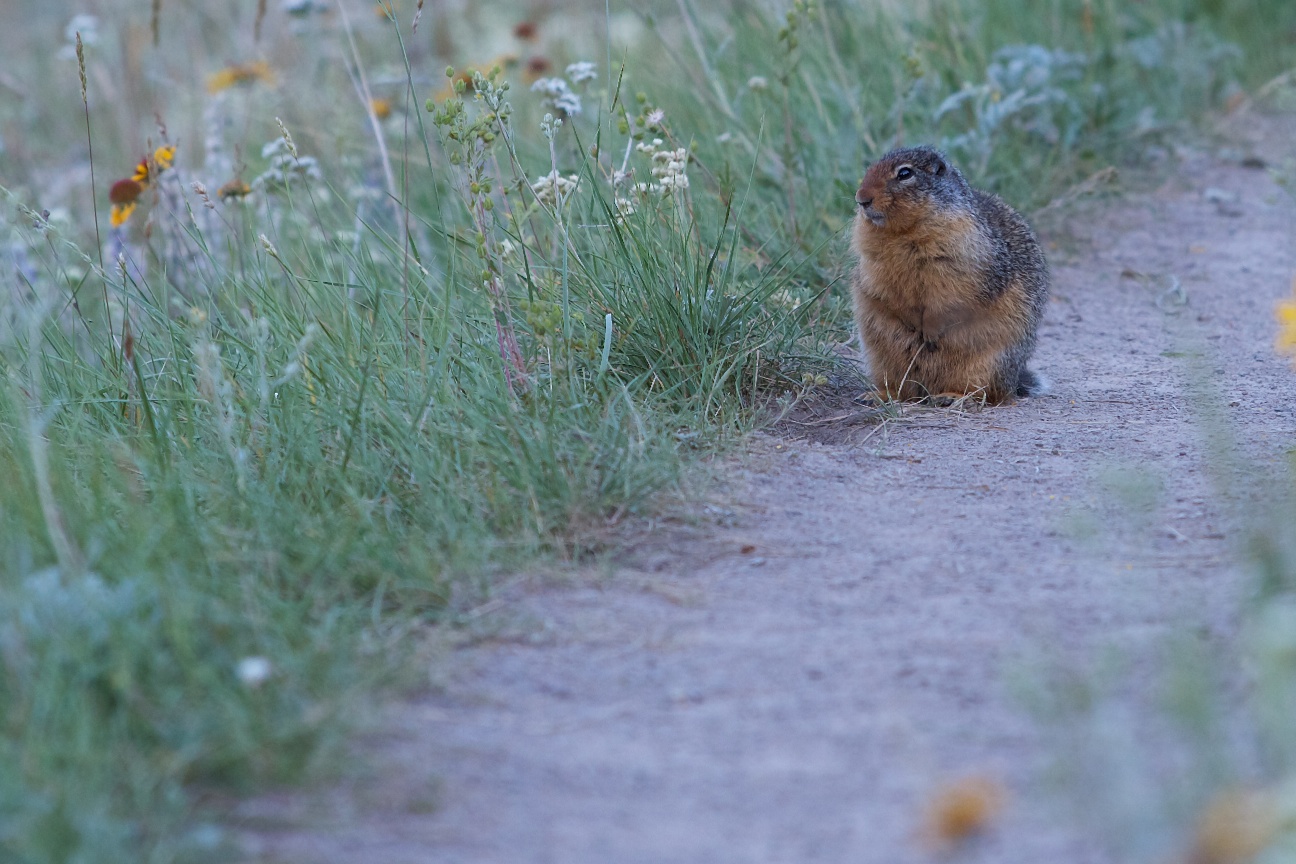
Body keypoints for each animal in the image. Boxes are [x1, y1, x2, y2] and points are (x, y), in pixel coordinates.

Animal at [850, 147, 1052, 404]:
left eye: (905, 173)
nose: (861, 198)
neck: (903, 233)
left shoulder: (962, 258)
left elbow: (949, 297)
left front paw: (930, 331)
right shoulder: (873, 264)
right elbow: (882, 290)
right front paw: (910, 322)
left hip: (990, 364)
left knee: (988, 393)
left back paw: (952, 396)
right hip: (880, 360)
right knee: (904, 391)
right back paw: (877, 394)